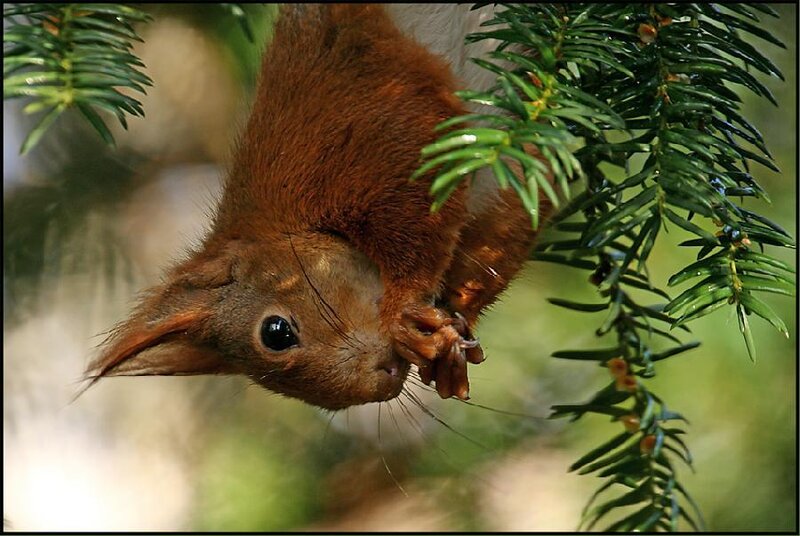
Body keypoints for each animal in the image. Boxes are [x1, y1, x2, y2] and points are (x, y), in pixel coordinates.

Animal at [87, 4, 550, 410]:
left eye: (275, 333)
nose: (380, 382)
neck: (290, 223)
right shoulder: (497, 191)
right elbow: (506, 226)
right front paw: (452, 336)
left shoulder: (364, 139)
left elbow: (413, 198)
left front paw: (402, 314)